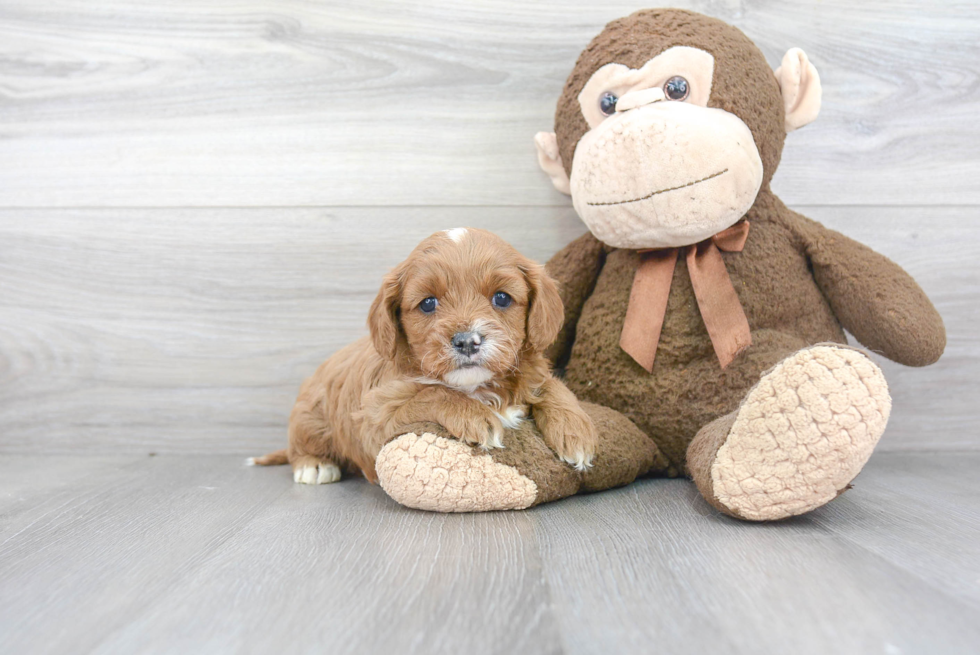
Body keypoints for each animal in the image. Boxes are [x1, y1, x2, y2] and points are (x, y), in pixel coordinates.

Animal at [251, 228, 596, 484]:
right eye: (428, 303)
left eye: (501, 298)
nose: (467, 341)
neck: (476, 386)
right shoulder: (375, 418)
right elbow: (433, 393)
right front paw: (477, 416)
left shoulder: (531, 371)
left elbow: (552, 386)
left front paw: (576, 432)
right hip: (310, 417)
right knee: (301, 445)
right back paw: (314, 465)